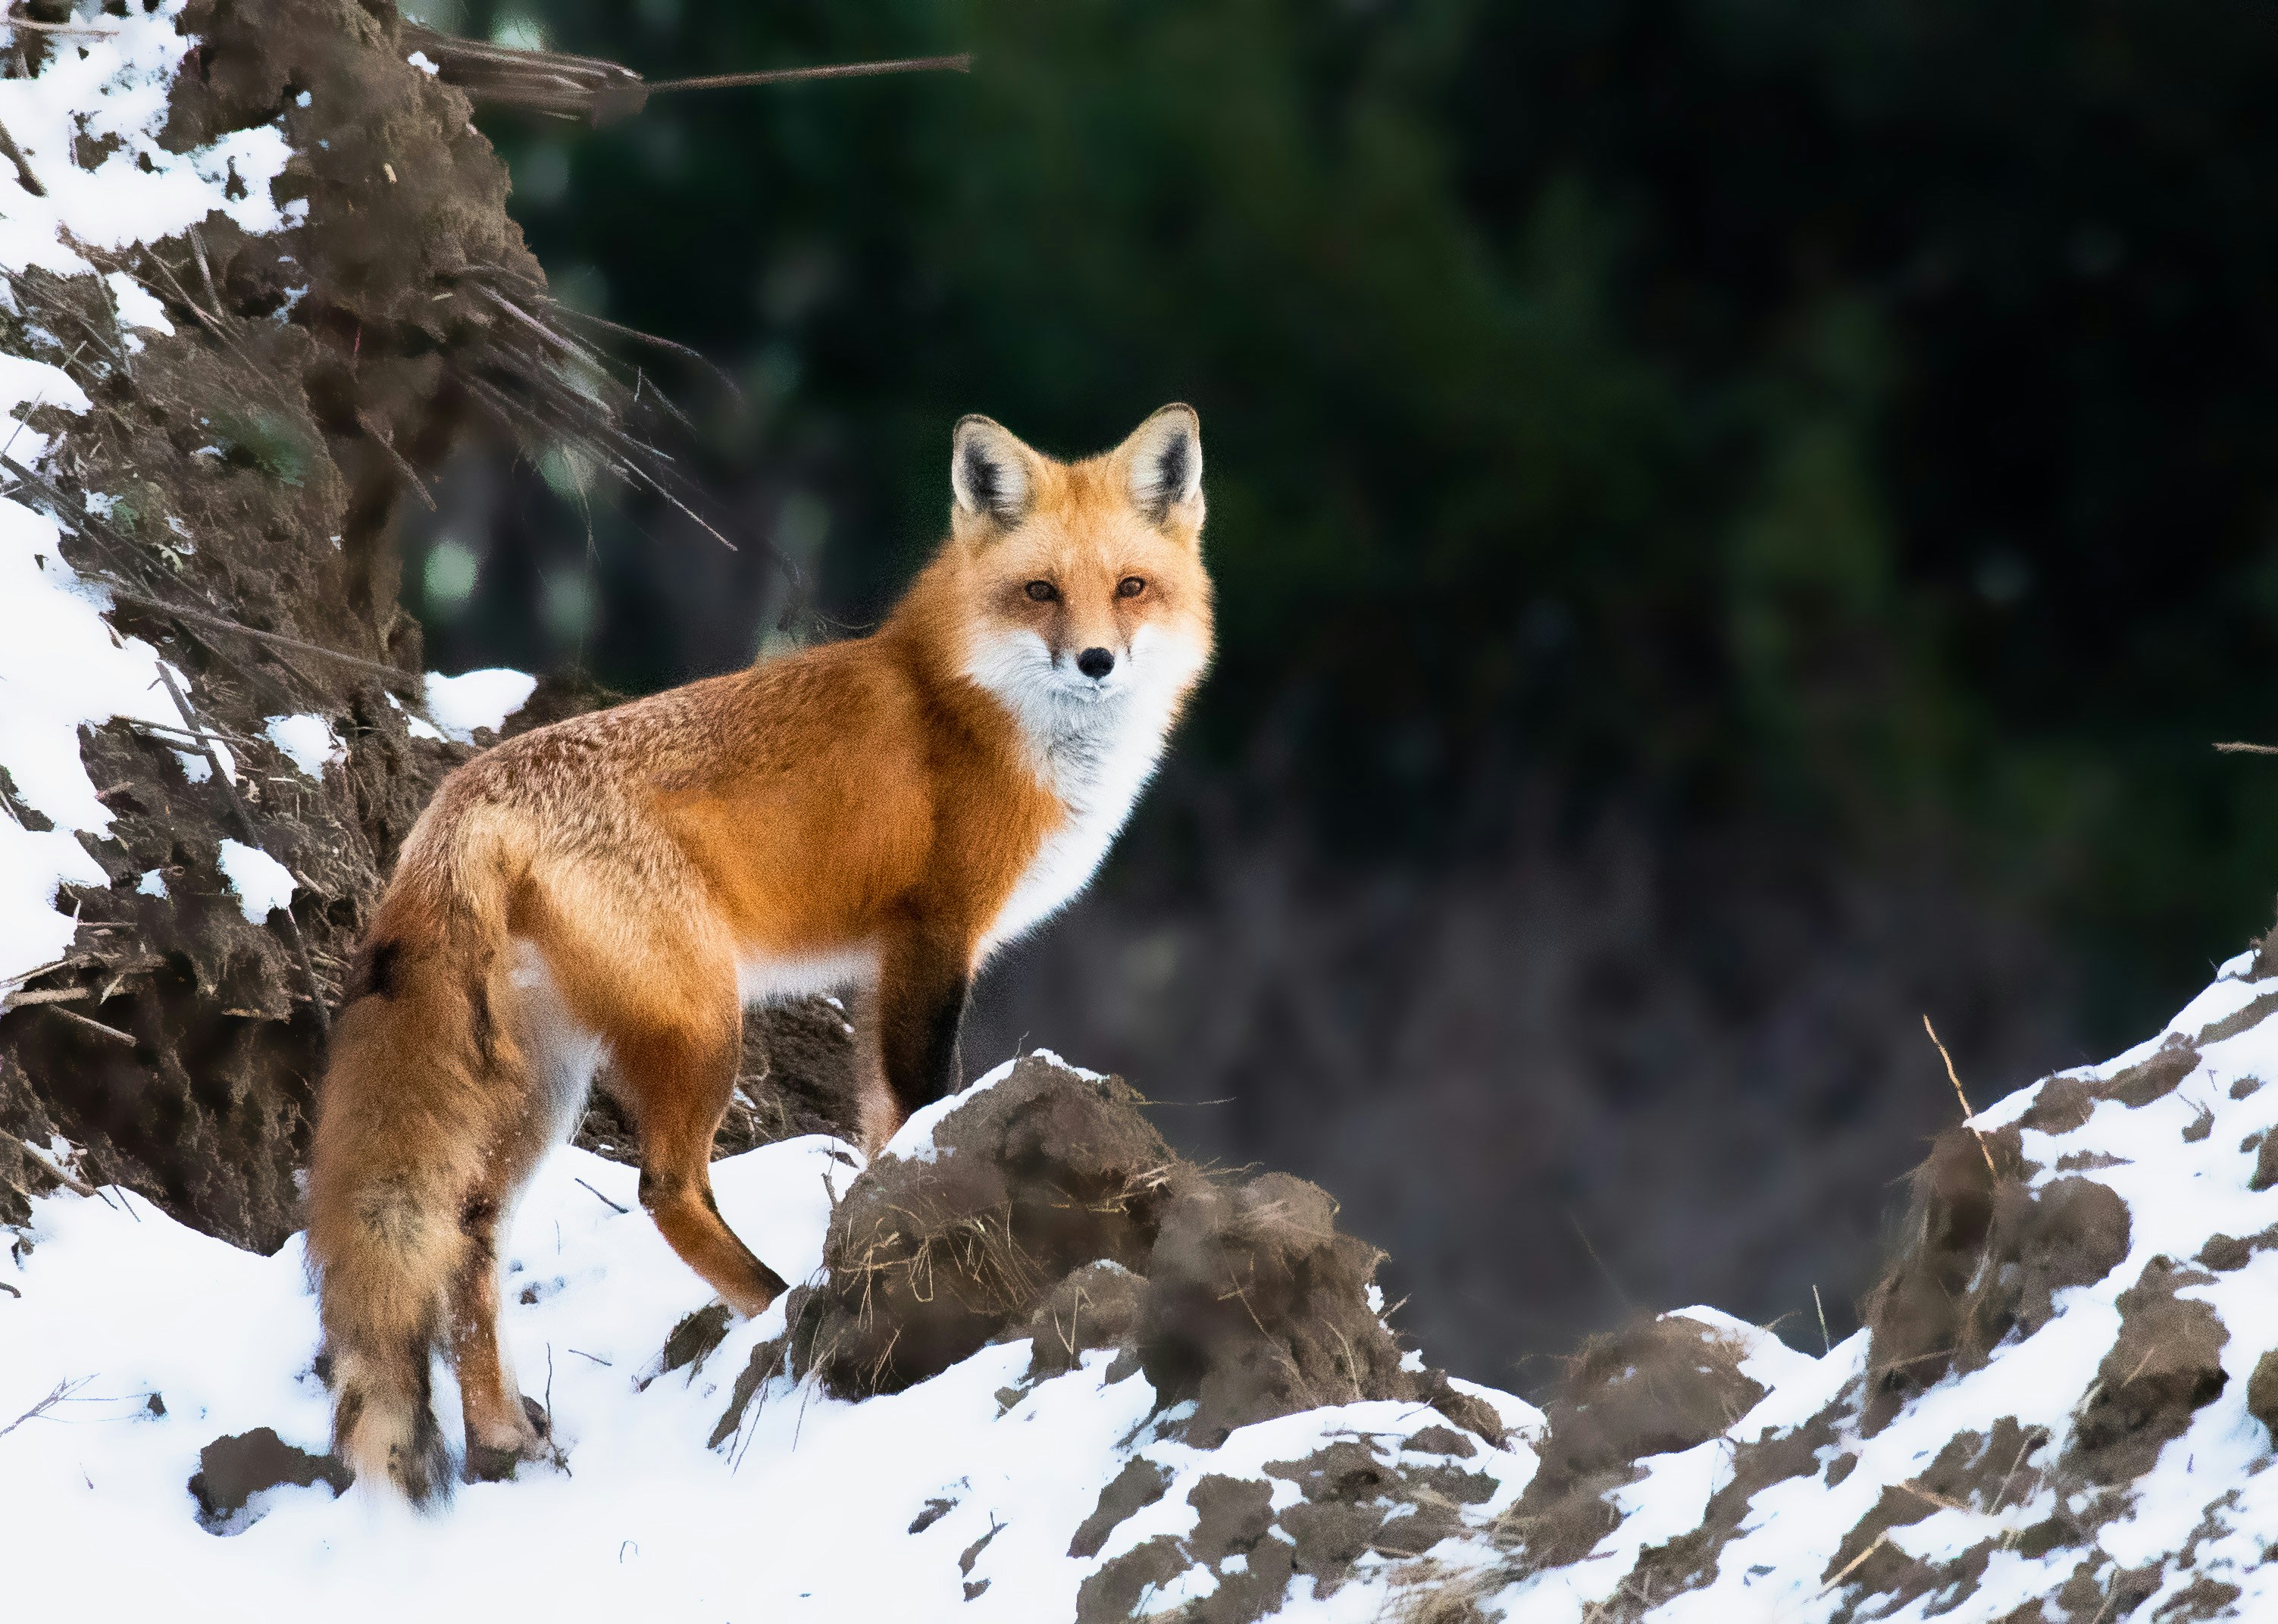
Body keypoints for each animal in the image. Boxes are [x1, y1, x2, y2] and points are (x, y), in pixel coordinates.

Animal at [305, 405, 1213, 1502]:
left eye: (1130, 587)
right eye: (1040, 591)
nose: (1095, 661)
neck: (975, 710)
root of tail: (462, 799)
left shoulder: (881, 965)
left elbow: (879, 1125)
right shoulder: (934, 933)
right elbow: (922, 1099)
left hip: (548, 1078)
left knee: (470, 1233)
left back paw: (503, 1436)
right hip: (704, 1024)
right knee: (664, 1188)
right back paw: (772, 1303)